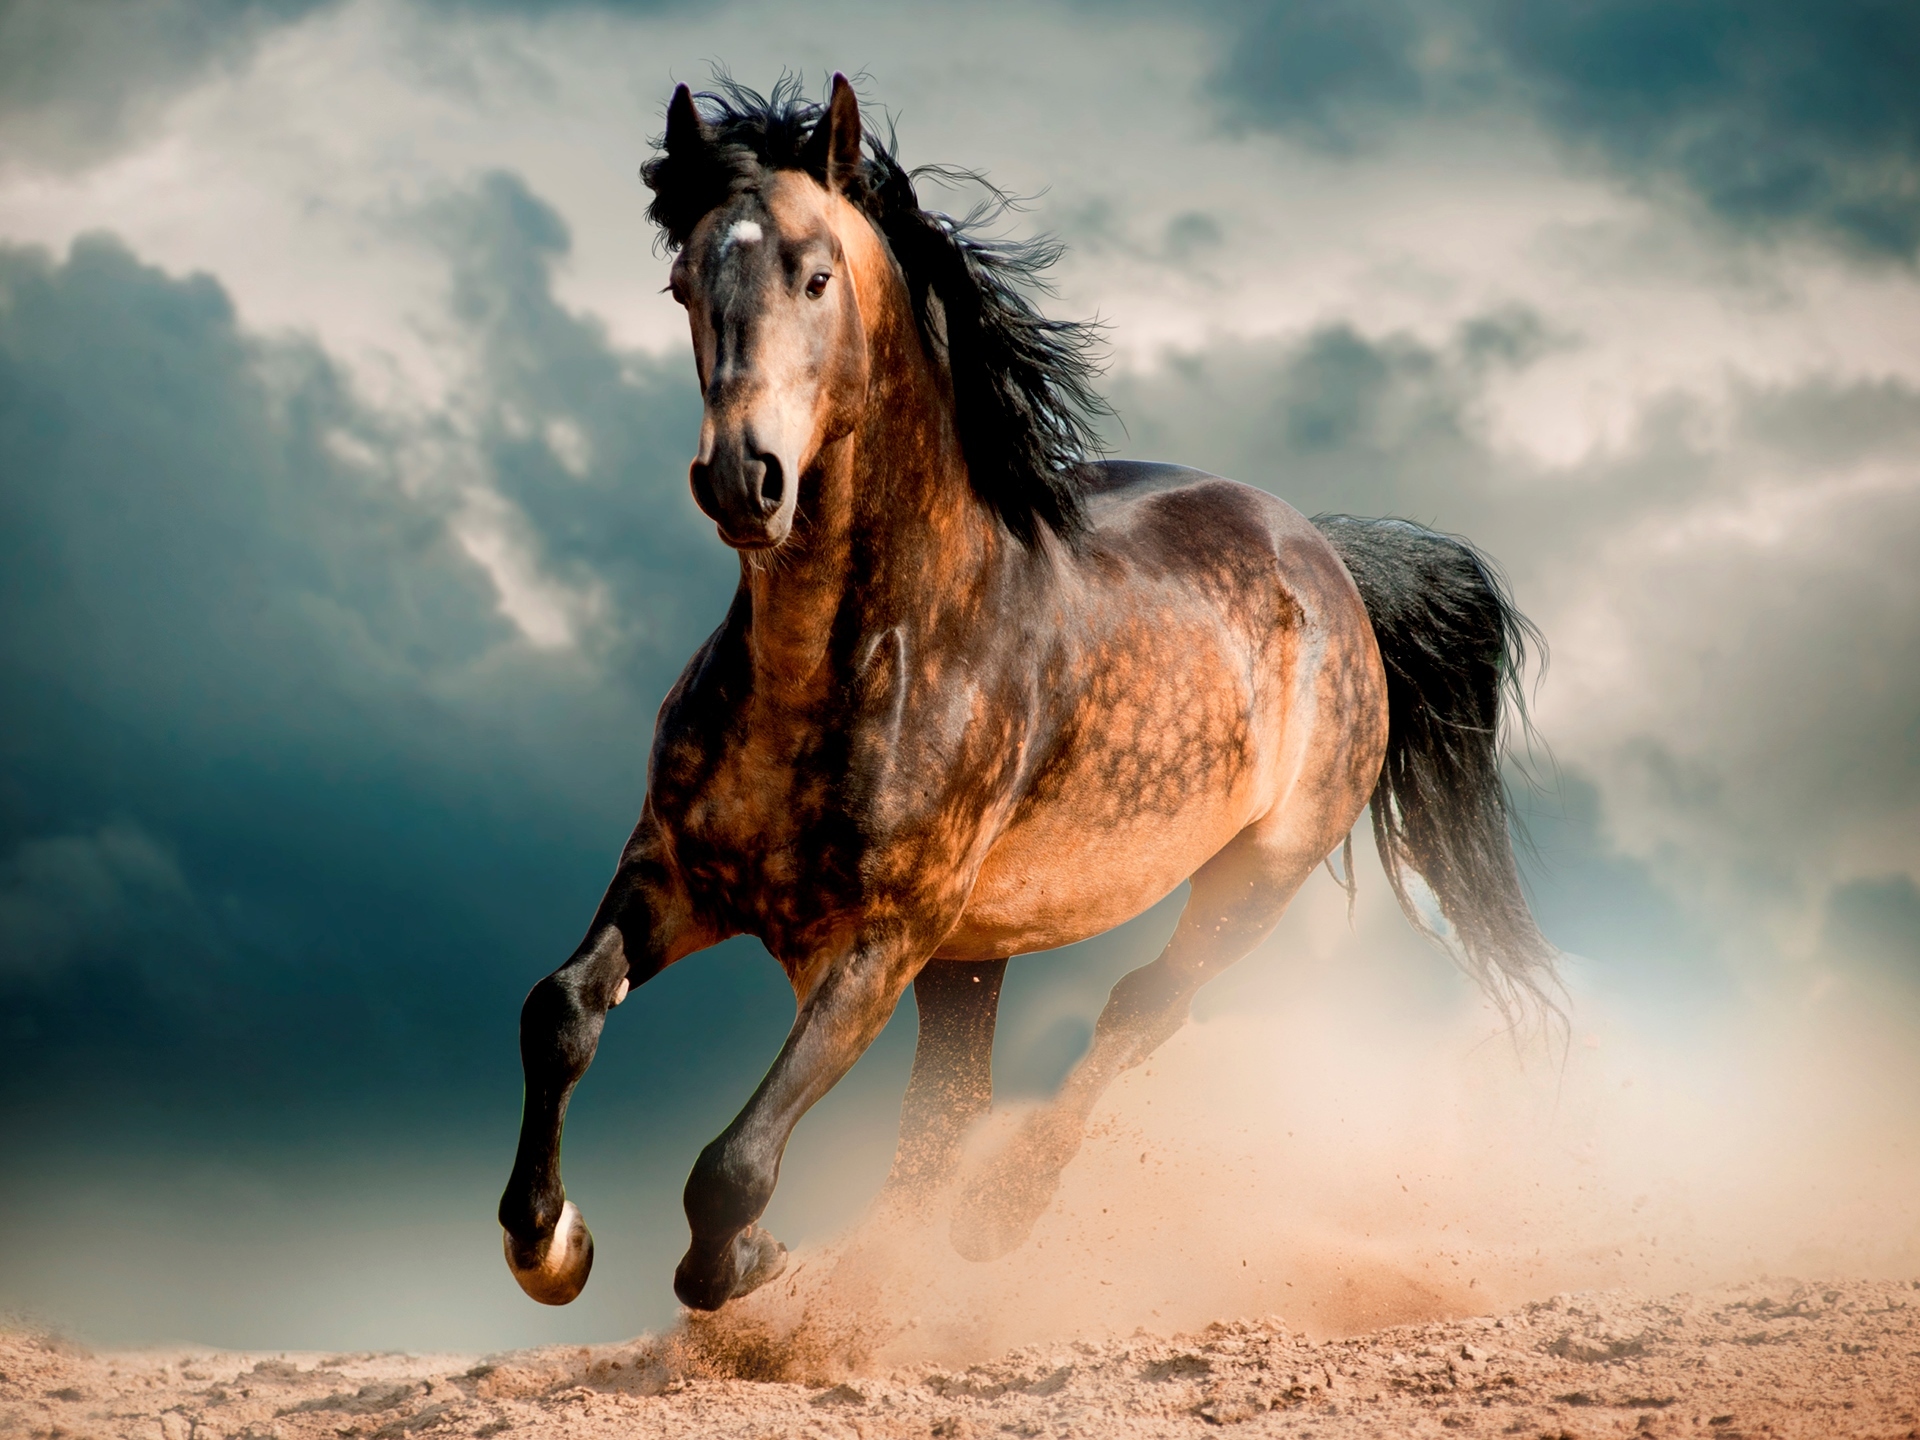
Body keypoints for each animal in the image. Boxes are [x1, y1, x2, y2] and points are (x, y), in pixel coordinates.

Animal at [499, 78, 1559, 1320]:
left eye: (816, 274)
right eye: (682, 282)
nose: (742, 480)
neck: (851, 665)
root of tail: (1330, 557)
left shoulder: (880, 940)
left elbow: (734, 1164)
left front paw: (747, 1262)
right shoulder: (675, 873)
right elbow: (560, 1011)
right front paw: (550, 1244)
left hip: (1254, 878)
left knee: (1139, 1010)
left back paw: (994, 1219)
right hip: (977, 954)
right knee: (951, 1104)